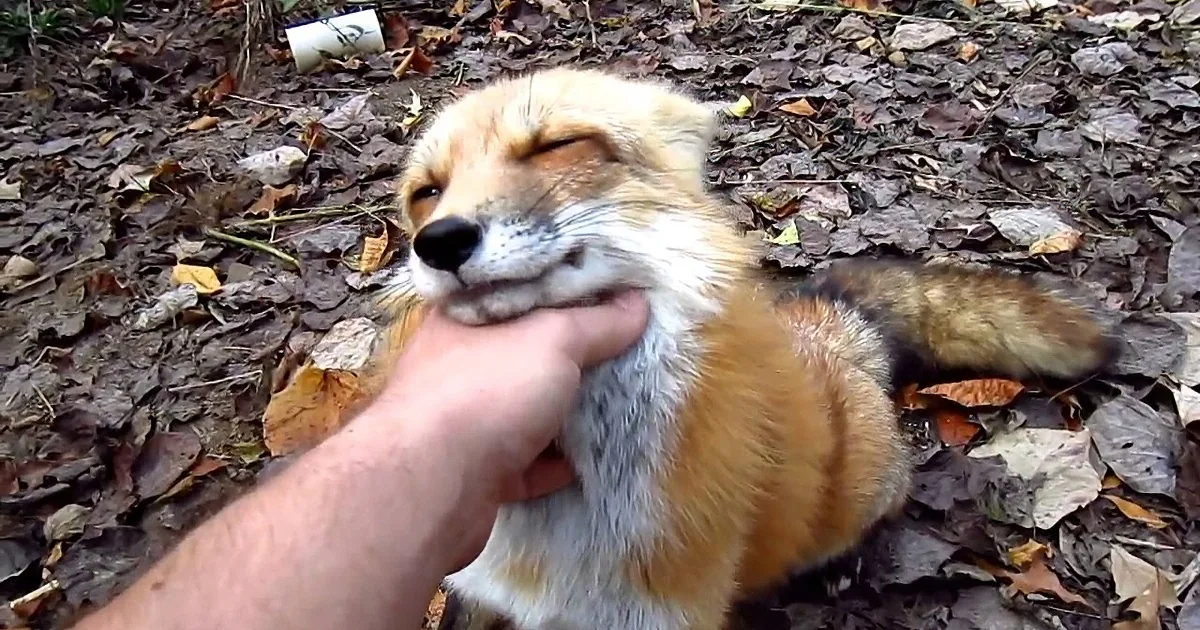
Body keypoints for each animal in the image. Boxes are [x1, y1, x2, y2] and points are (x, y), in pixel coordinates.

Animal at [362, 67, 1119, 630]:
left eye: (557, 145)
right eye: (426, 194)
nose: (441, 242)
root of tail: (828, 326)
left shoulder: (664, 610)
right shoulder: (477, 591)